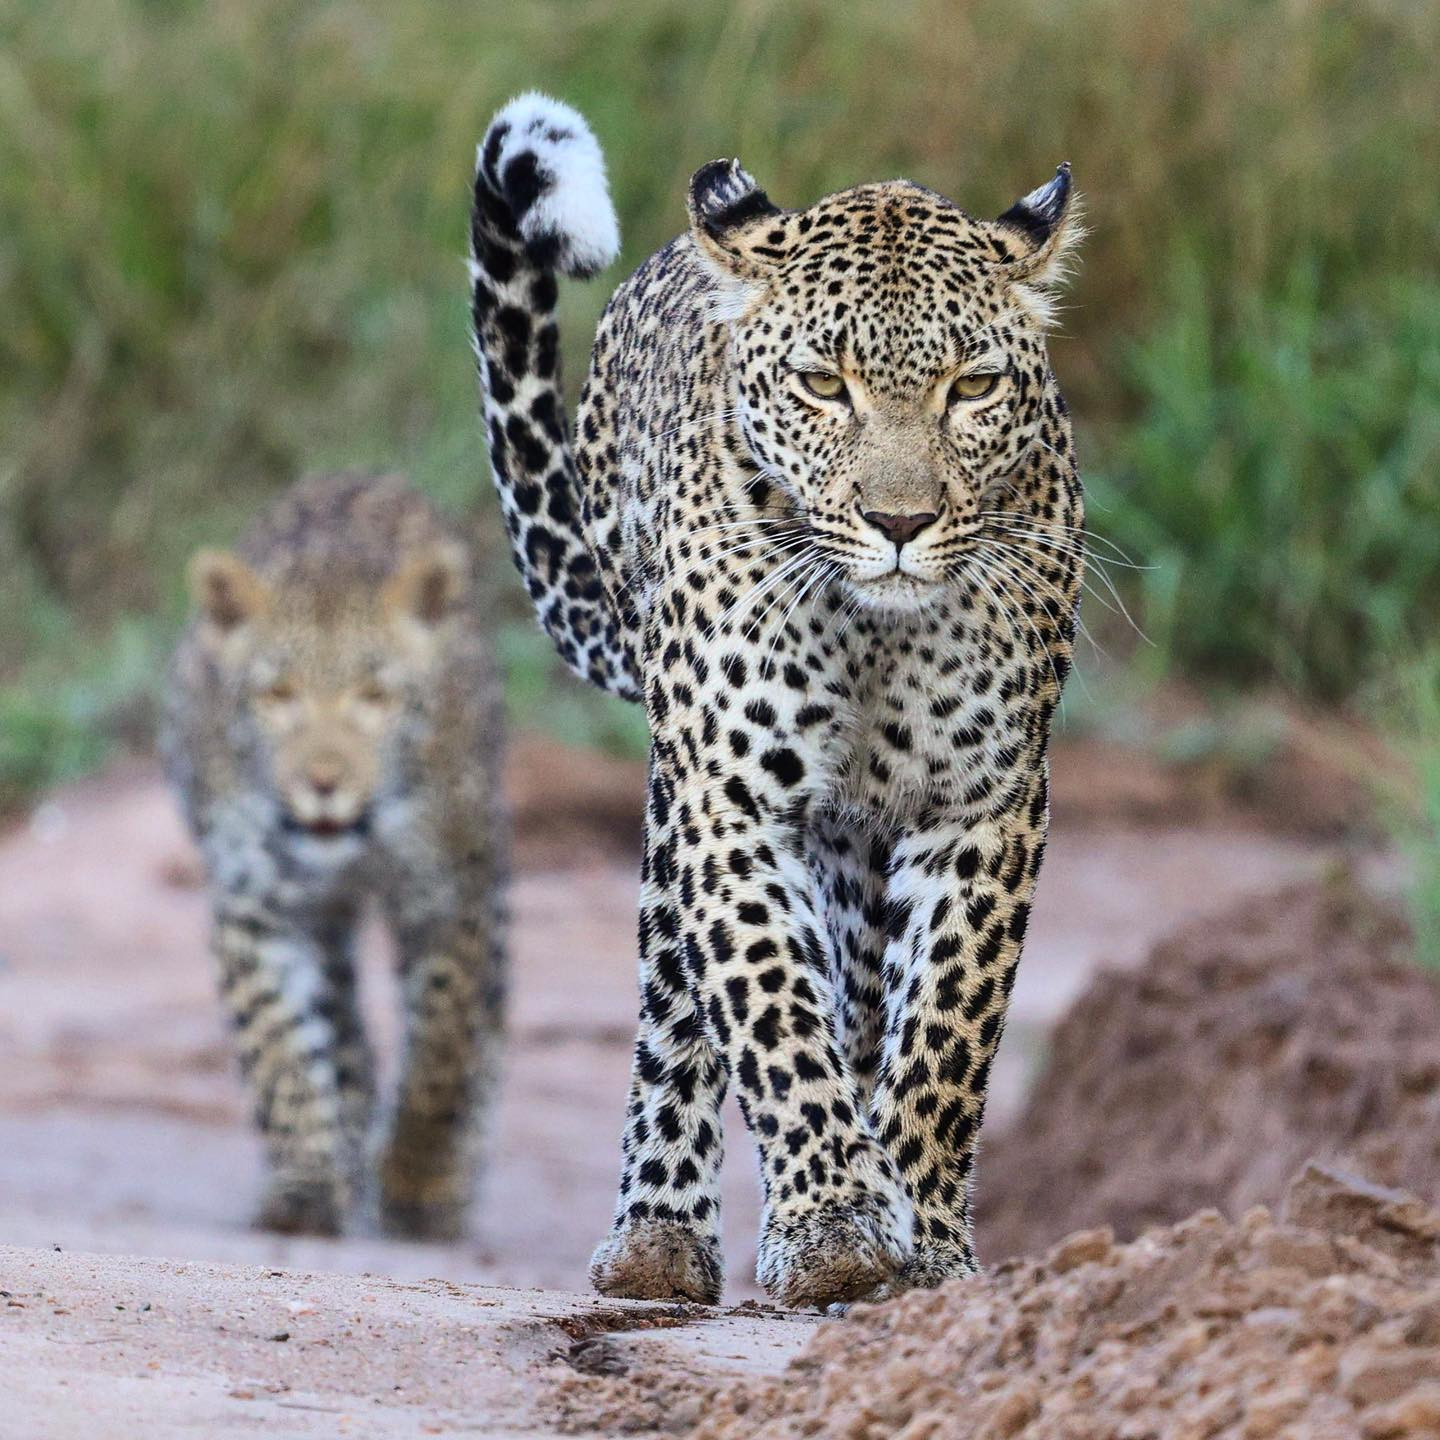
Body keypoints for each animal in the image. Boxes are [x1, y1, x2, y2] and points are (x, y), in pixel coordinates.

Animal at [163, 470, 507, 1242]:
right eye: (278, 694)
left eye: (375, 695)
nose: (323, 783)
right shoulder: (257, 906)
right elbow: (280, 1047)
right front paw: (307, 1186)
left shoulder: (445, 894)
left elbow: (441, 1045)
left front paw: (417, 1183)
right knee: (342, 1028)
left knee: (484, 1017)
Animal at [469, 93, 1084, 1309]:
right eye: (823, 385)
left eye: (972, 388)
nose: (900, 523)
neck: (876, 627)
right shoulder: (734, 797)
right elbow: (770, 1005)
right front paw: (838, 1225)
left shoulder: (986, 804)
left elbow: (945, 1030)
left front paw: (921, 1241)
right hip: (677, 801)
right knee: (677, 1009)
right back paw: (658, 1239)